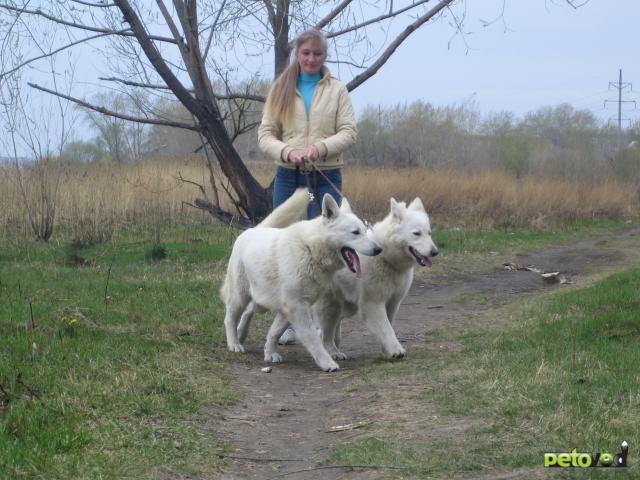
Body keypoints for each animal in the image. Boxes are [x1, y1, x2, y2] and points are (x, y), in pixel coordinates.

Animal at [221, 189, 380, 374]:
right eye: (355, 232)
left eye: (364, 230)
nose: (379, 249)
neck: (310, 249)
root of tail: (252, 230)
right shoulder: (297, 308)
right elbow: (313, 339)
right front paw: (327, 362)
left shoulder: (288, 309)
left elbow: (274, 333)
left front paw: (269, 353)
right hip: (240, 296)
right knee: (230, 318)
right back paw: (234, 343)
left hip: (262, 301)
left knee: (248, 312)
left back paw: (241, 334)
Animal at [312, 198, 438, 360]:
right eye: (416, 233)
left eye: (429, 233)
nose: (435, 252)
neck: (386, 258)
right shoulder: (373, 303)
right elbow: (385, 328)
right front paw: (396, 350)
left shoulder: (393, 303)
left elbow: (389, 325)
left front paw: (387, 349)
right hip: (330, 306)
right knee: (326, 333)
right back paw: (333, 352)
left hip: (347, 306)